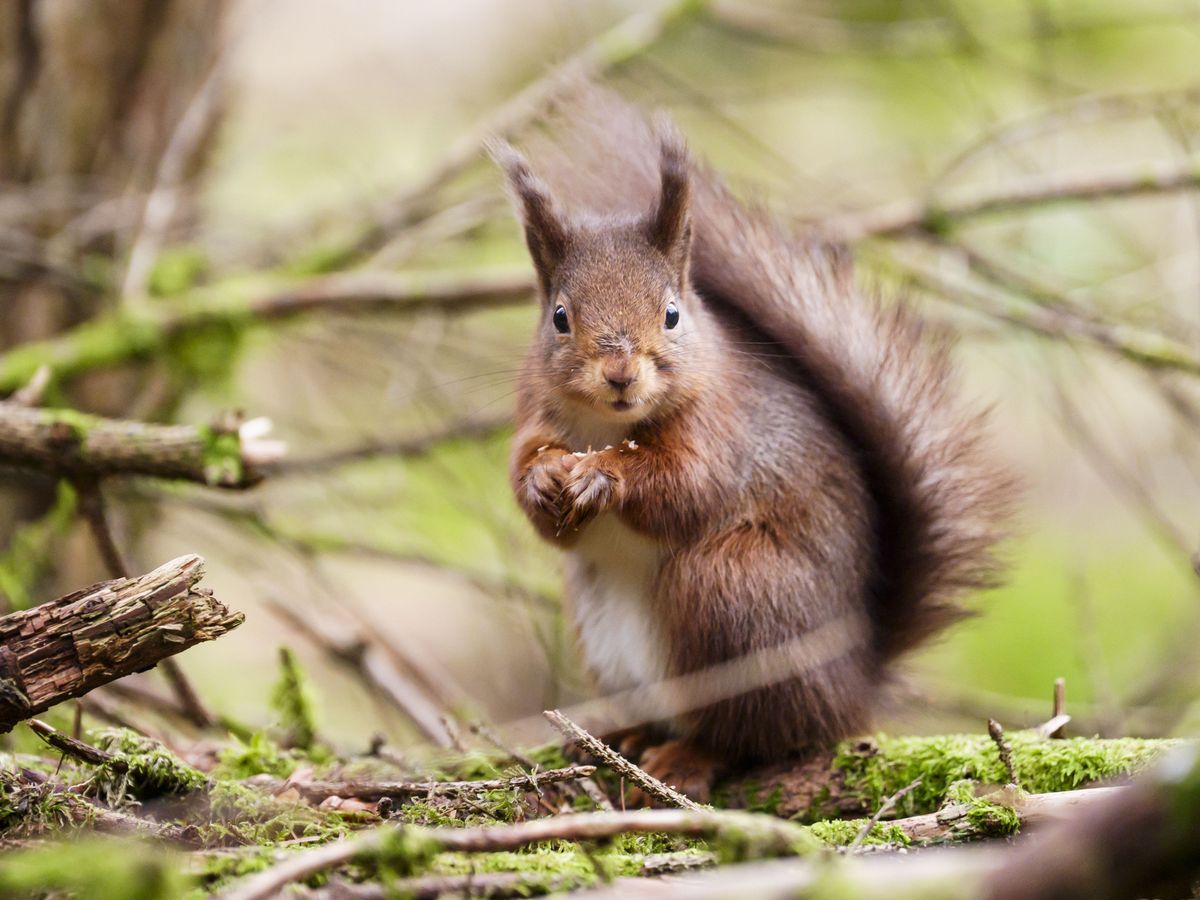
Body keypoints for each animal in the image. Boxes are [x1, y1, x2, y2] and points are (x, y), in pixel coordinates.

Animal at [490, 92, 1013, 802]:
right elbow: (537, 496)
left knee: (752, 734)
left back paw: (687, 756)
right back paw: (623, 736)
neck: (605, 425)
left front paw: (606, 477)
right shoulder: (533, 417)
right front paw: (544, 478)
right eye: (559, 317)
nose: (621, 374)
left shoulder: (721, 431)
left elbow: (685, 487)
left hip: (735, 591)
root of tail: (855, 680)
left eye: (673, 314)